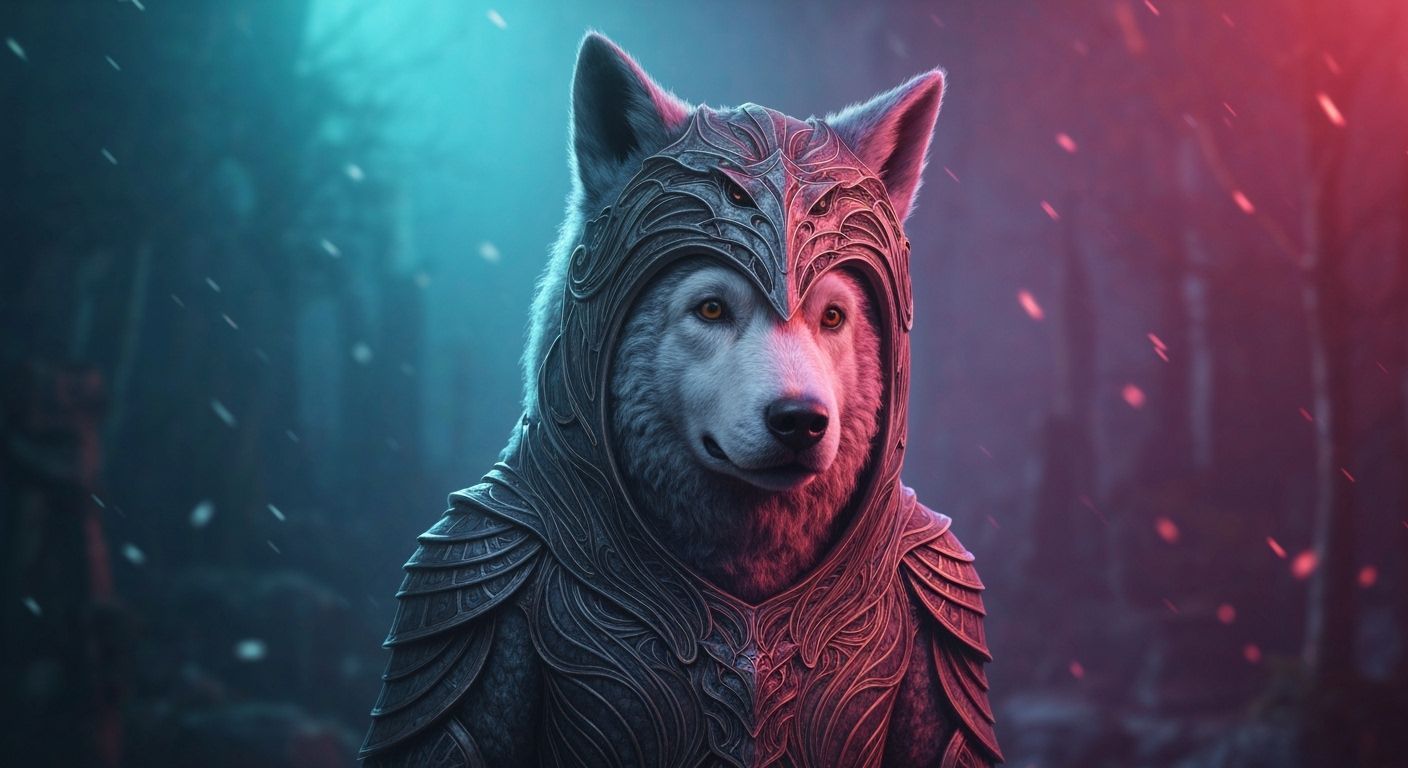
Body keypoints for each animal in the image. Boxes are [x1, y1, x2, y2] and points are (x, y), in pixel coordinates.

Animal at [361, 33, 1000, 768]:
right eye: (712, 308)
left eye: (833, 317)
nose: (801, 421)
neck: (746, 570)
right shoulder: (470, 574)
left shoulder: (942, 595)